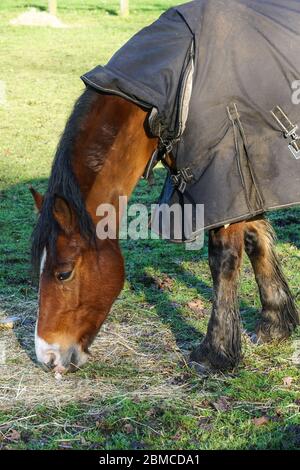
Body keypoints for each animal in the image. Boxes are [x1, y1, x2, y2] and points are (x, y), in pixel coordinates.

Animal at [31, 0, 300, 374]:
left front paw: (215, 352)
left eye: (63, 274)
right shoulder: (245, 180)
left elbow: (223, 261)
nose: (47, 356)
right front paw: (274, 325)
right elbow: (257, 239)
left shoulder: (225, 175)